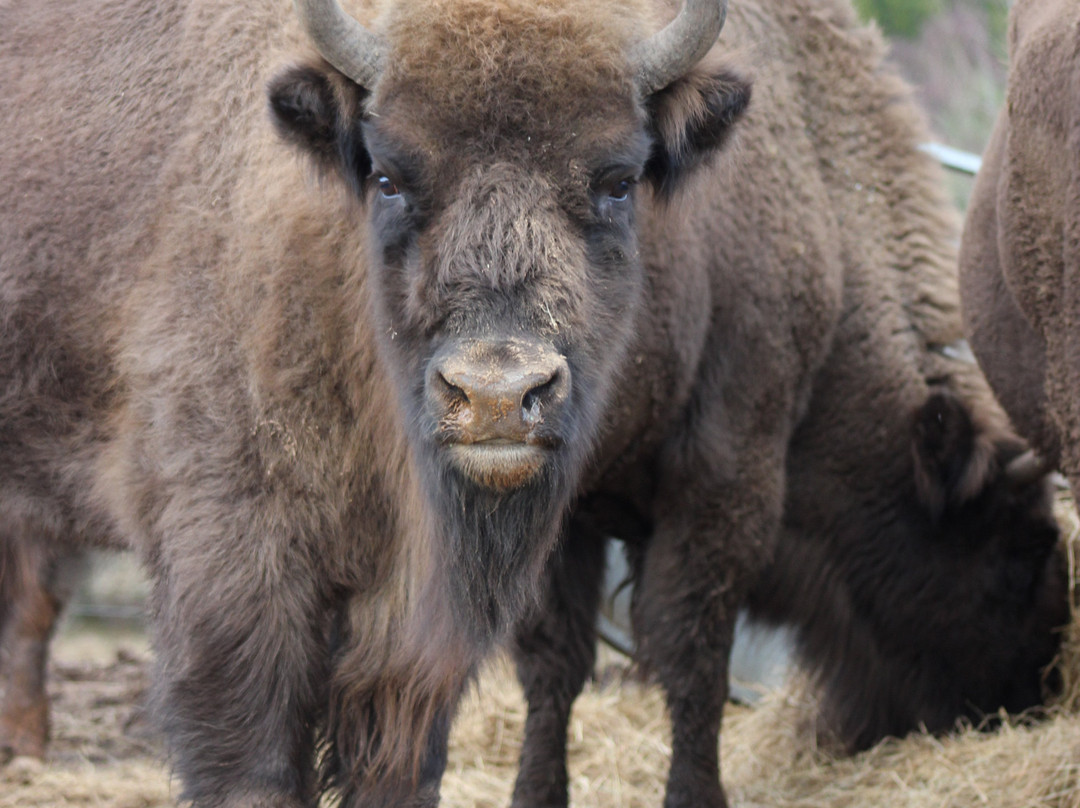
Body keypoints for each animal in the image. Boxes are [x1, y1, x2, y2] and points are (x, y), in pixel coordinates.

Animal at [0, 1, 1067, 808]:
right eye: (386, 173)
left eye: (619, 179)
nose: (497, 396)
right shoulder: (727, 461)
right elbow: (679, 657)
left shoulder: (513, 544)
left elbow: (548, 680)